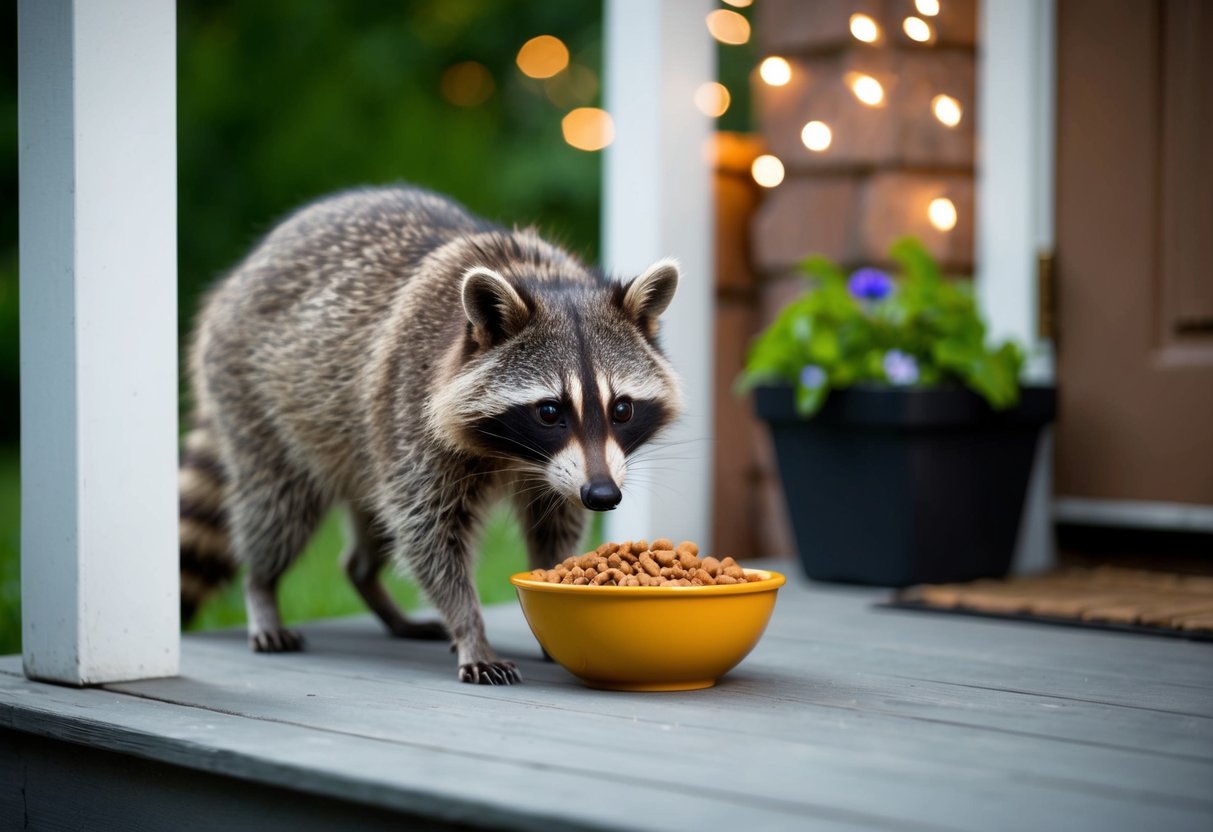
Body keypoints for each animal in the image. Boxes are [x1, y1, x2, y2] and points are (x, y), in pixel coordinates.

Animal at [178, 186, 683, 684]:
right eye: (549, 411)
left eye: (622, 409)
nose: (602, 495)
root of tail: (243, 273)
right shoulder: (411, 410)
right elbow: (431, 535)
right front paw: (471, 628)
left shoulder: (565, 472)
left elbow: (554, 523)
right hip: (259, 402)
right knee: (279, 506)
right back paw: (262, 587)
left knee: (371, 524)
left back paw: (370, 585)